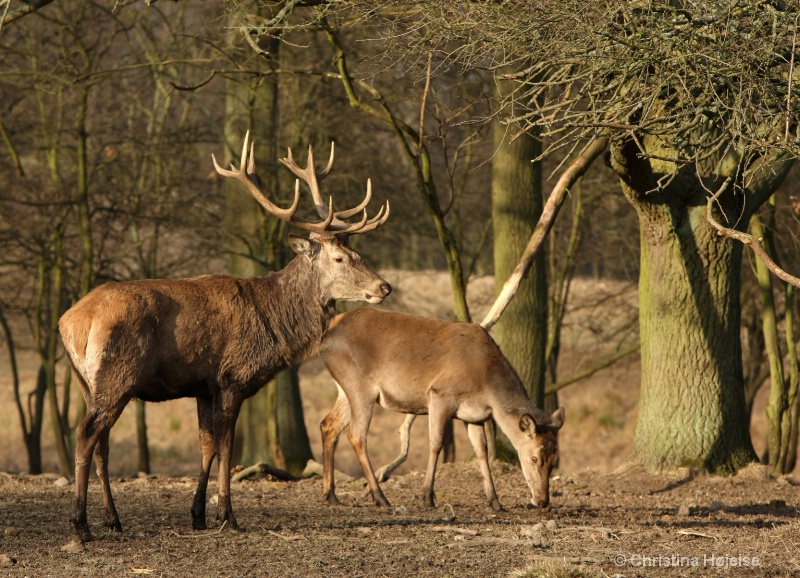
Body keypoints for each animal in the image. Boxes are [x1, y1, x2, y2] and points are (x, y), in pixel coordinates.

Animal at [59, 133, 390, 544]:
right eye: (341, 259)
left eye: (357, 251)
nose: (384, 286)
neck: (275, 322)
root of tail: (72, 322)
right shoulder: (233, 378)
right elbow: (228, 448)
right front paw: (227, 515)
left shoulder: (203, 385)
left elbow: (207, 447)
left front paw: (198, 514)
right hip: (118, 375)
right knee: (86, 433)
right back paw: (81, 524)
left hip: (88, 381)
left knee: (101, 442)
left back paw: (113, 519)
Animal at [318, 308, 564, 510]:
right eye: (534, 457)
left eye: (555, 459)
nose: (542, 501)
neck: (486, 389)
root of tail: (325, 338)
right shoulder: (440, 395)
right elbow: (436, 443)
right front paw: (427, 498)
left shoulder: (474, 416)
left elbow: (482, 451)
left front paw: (495, 501)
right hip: (360, 387)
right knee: (356, 435)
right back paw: (380, 498)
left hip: (345, 390)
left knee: (328, 425)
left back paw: (331, 495)